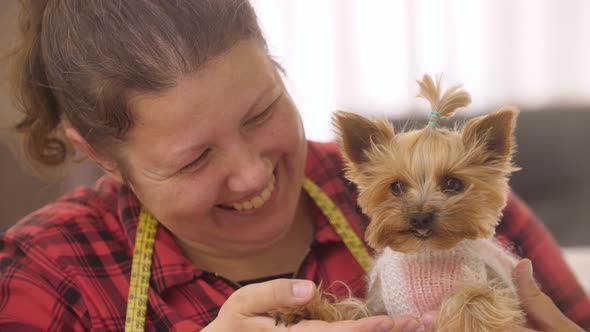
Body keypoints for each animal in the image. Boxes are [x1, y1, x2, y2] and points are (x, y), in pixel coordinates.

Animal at [270, 74, 524, 330]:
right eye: (396, 186)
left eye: (452, 183)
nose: (420, 217)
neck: (426, 254)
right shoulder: (378, 308)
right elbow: (351, 312)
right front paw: (304, 309)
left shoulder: (492, 283)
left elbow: (476, 297)